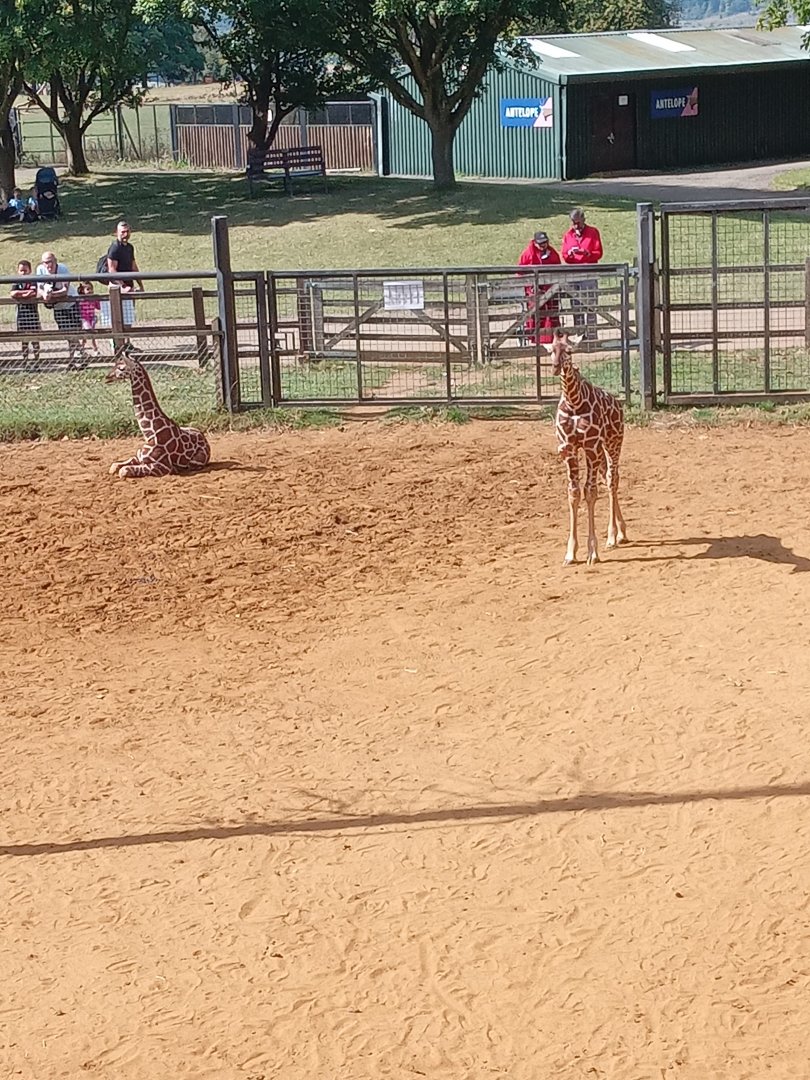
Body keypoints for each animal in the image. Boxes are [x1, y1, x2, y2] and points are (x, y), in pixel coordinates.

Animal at [546, 329, 626, 566]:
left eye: (569, 350)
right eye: (551, 350)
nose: (555, 367)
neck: (574, 402)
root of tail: (618, 403)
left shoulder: (590, 446)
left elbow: (590, 492)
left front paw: (592, 552)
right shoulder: (569, 448)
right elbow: (574, 493)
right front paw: (570, 553)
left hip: (613, 443)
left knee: (612, 479)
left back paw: (613, 536)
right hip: (601, 451)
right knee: (606, 477)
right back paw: (621, 532)